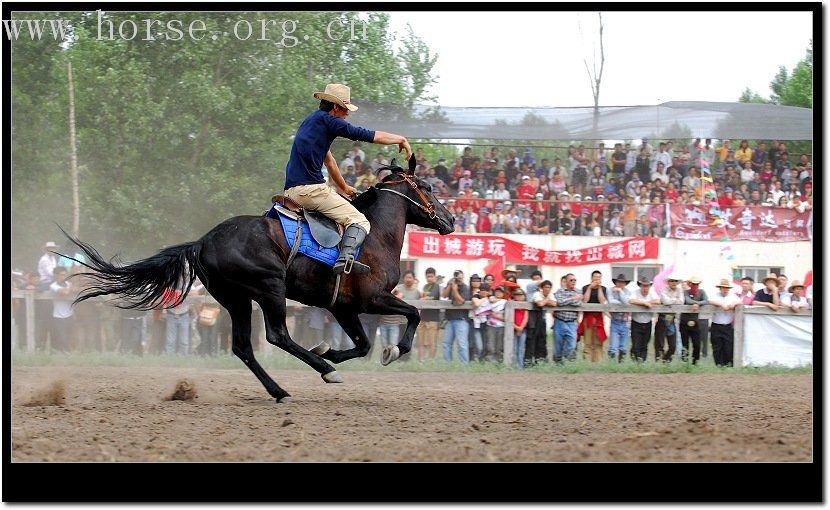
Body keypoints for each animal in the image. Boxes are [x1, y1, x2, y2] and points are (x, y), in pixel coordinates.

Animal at [61, 158, 456, 402]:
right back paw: (324, 372)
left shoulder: (343, 307)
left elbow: (362, 344)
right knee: (277, 335)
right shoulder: (372, 299)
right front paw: (392, 350)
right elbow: (414, 314)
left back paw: (281, 389)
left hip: (235, 299)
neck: (373, 236)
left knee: (243, 347)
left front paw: (329, 349)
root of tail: (203, 241)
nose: (450, 220)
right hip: (270, 290)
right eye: (427, 186)